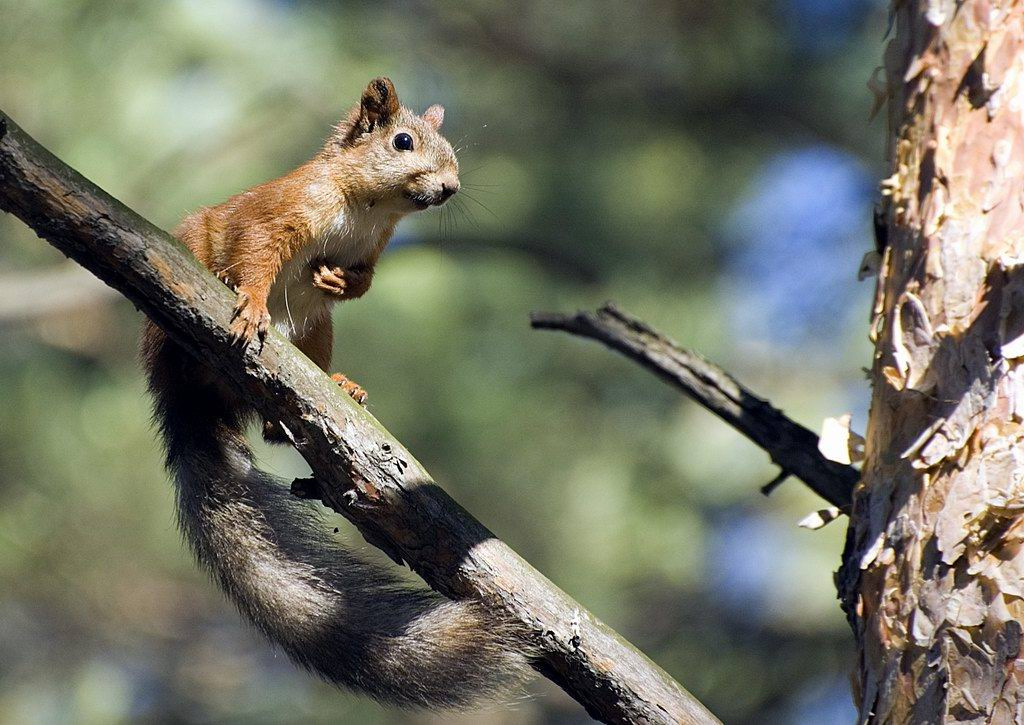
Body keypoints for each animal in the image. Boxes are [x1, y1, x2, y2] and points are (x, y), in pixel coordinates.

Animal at [140, 78, 531, 708]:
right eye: (402, 142)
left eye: (451, 149)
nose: (450, 188)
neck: (368, 207)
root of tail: (184, 402)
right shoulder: (277, 212)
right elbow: (257, 253)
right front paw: (250, 302)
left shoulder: (372, 251)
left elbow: (362, 282)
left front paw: (339, 280)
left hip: (318, 332)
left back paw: (334, 389)